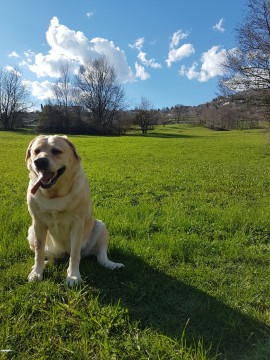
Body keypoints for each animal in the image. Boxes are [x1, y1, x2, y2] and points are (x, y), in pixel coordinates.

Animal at [25, 135, 124, 286]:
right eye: (36, 151)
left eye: (56, 151)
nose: (39, 161)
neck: (54, 194)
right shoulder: (37, 222)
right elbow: (39, 251)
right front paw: (37, 272)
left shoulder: (77, 224)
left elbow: (75, 254)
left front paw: (73, 276)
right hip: (31, 231)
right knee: (51, 256)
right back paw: (45, 264)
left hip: (100, 226)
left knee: (100, 256)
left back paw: (112, 265)